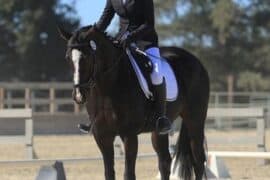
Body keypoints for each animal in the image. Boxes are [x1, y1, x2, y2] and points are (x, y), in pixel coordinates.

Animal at [58, 25, 211, 180]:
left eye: (87, 57)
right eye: (67, 58)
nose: (78, 95)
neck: (107, 89)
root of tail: (195, 60)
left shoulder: (129, 135)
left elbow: (129, 173)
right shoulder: (102, 136)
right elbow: (109, 172)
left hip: (195, 121)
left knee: (198, 160)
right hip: (159, 130)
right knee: (165, 162)